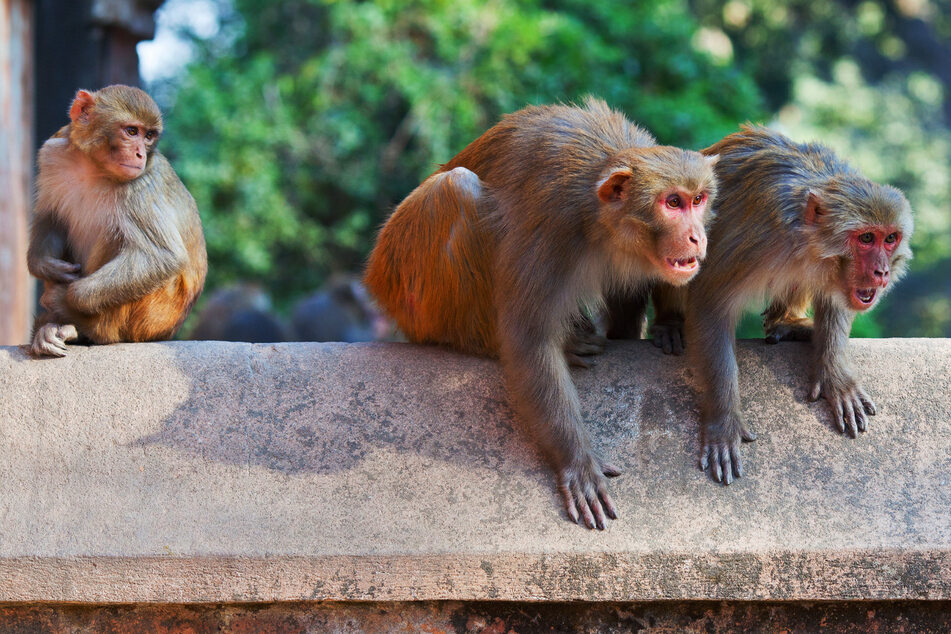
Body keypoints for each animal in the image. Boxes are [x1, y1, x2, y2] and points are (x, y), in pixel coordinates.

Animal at [27, 84, 206, 356]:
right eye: (131, 131)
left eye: (149, 136)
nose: (140, 154)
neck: (94, 167)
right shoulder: (51, 152)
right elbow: (51, 217)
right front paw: (46, 266)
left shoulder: (141, 185)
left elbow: (162, 257)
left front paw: (67, 296)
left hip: (155, 315)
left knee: (119, 235)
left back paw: (86, 327)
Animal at [364, 97, 712, 524]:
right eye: (672, 202)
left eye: (698, 200)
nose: (697, 235)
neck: (605, 223)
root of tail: (375, 276)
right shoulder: (554, 221)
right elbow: (528, 341)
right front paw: (577, 461)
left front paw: (671, 323)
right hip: (407, 281)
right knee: (455, 188)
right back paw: (494, 340)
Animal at [684, 127, 916, 484]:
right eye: (866, 238)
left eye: (890, 238)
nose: (882, 272)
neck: (807, 236)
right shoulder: (754, 240)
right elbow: (709, 302)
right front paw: (723, 420)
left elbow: (837, 298)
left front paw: (836, 376)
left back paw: (789, 323)